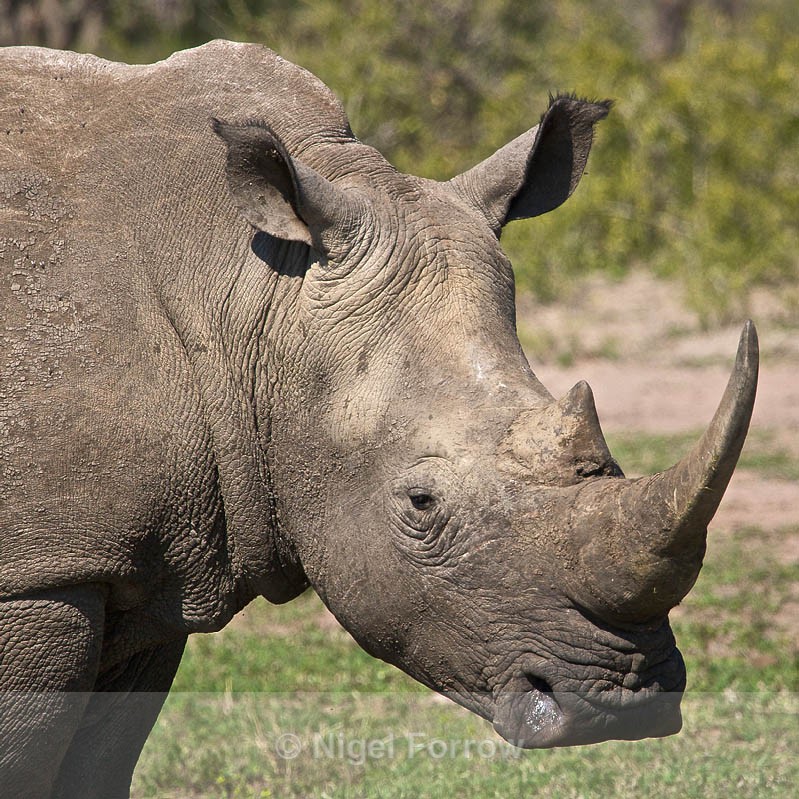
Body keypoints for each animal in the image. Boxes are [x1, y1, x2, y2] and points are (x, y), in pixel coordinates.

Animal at [0, 40, 757, 798]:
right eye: (421, 502)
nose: (625, 700)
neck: (250, 290)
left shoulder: (146, 572)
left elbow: (98, 761)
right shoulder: (44, 572)